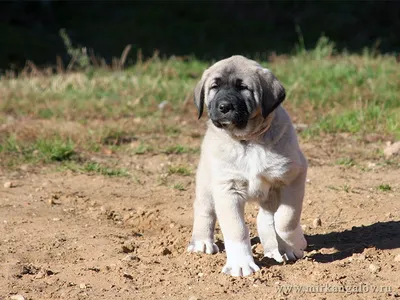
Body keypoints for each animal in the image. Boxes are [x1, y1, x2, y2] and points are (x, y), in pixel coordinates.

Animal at [187, 55, 306, 276]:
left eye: (243, 87)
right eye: (214, 87)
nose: (224, 107)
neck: (248, 141)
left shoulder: (293, 176)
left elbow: (286, 218)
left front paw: (294, 243)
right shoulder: (227, 189)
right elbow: (237, 230)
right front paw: (241, 264)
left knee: (268, 217)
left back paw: (276, 248)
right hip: (206, 183)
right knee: (204, 210)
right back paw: (201, 242)